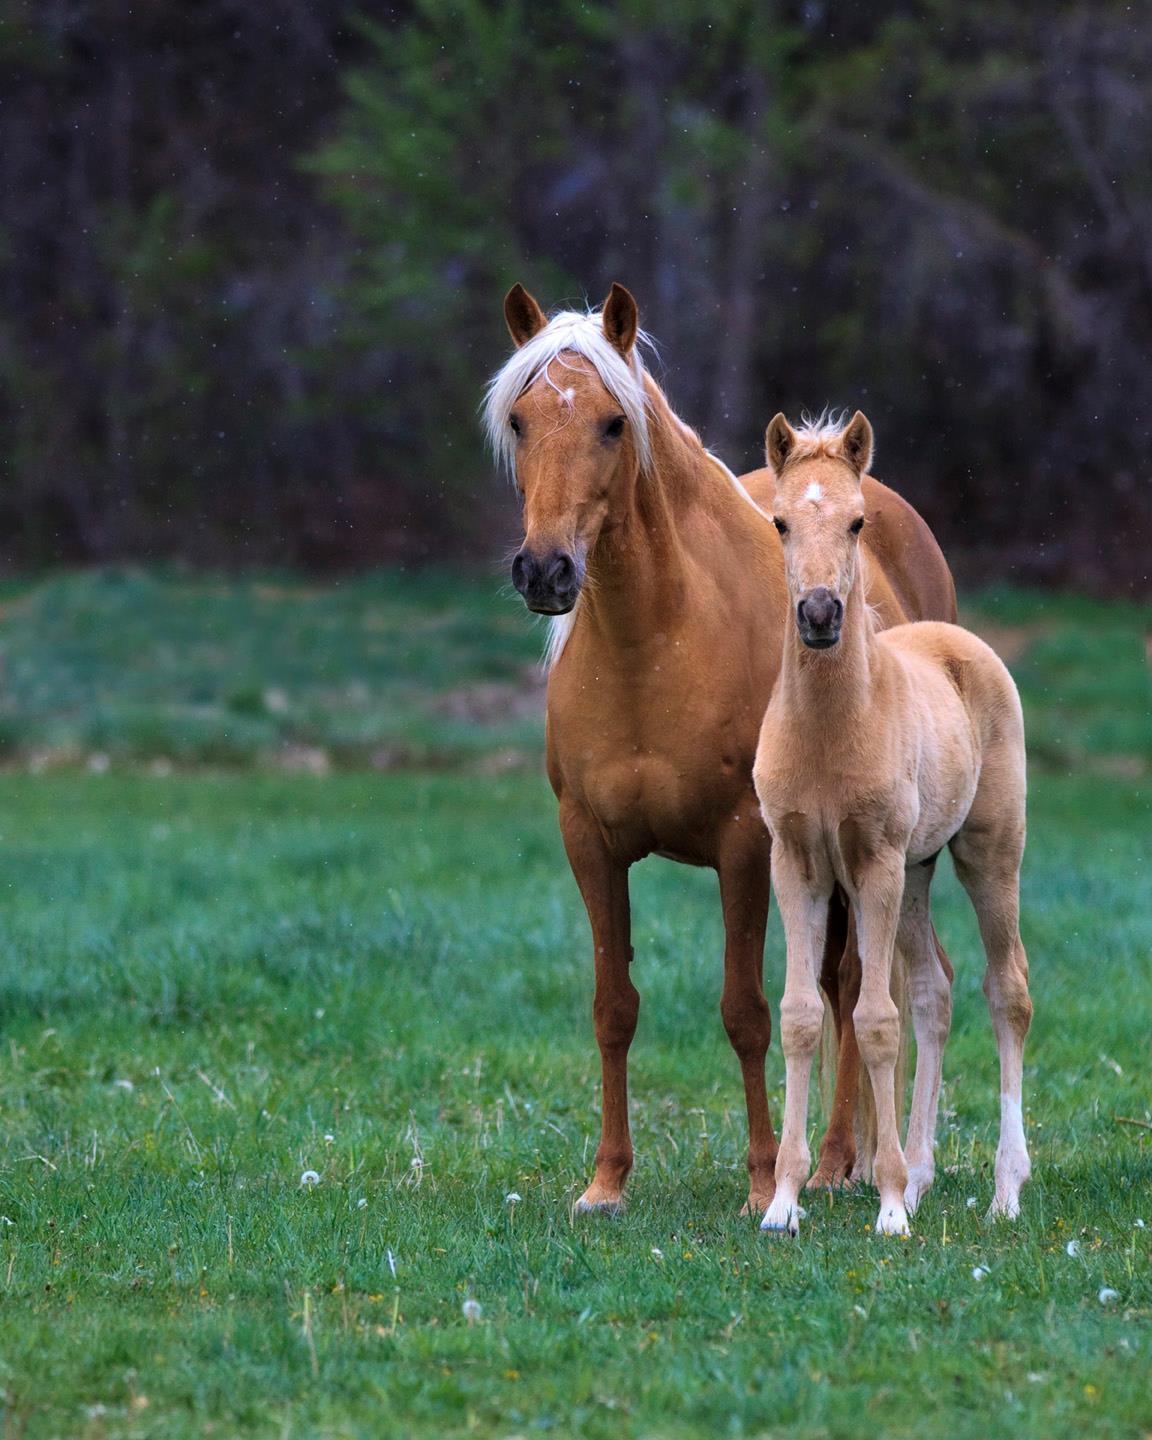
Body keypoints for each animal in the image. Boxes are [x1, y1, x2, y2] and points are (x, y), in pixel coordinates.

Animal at [483, 283, 956, 1215]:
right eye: (519, 420)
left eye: (613, 424)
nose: (546, 571)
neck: (654, 639)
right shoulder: (589, 843)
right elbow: (614, 1006)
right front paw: (606, 1182)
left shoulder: (746, 844)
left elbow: (748, 1012)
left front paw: (765, 1179)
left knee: (852, 985)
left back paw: (840, 1160)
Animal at [754, 411, 1036, 1232]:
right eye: (780, 522)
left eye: (857, 522)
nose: (819, 614)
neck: (828, 730)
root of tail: (962, 642)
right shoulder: (798, 863)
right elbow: (801, 1015)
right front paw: (783, 1202)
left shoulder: (872, 865)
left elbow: (875, 1020)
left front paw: (885, 1211)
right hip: (917, 871)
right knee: (935, 990)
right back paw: (918, 1174)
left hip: (987, 855)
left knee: (1007, 989)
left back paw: (1004, 1189)